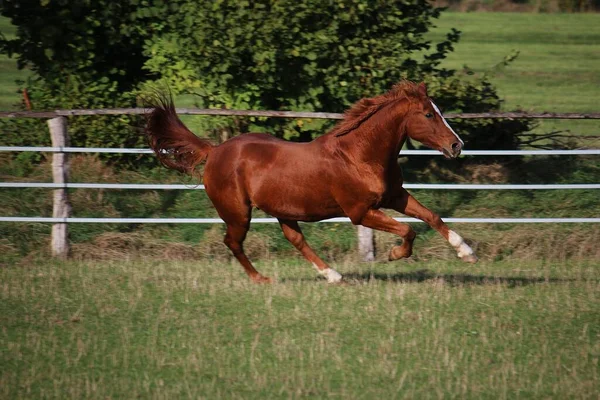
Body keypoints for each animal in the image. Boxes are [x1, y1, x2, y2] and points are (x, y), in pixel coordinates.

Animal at [145, 80, 478, 284]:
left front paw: (466, 253)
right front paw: (394, 255)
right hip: (238, 212)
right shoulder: (360, 212)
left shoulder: (395, 196)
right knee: (233, 242)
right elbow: (408, 230)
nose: (457, 145)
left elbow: (432, 216)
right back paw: (262, 279)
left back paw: (333, 276)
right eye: (428, 114)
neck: (359, 155)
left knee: (296, 240)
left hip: (284, 211)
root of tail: (213, 151)